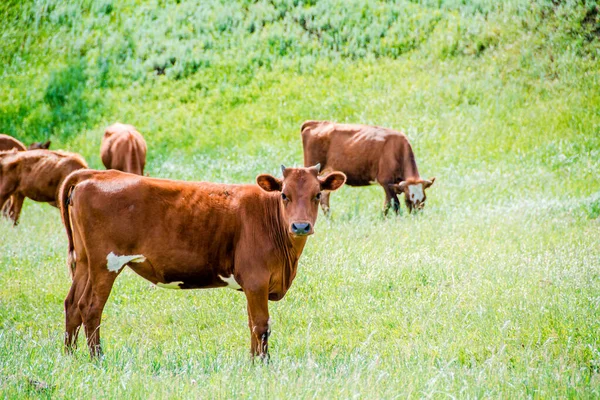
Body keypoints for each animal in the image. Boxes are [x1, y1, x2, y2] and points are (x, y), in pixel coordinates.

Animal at [59, 164, 346, 358]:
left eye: (317, 194)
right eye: (284, 195)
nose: (301, 226)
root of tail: (95, 173)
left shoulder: (252, 286)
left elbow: (251, 324)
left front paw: (253, 362)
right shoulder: (256, 281)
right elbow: (261, 325)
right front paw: (263, 365)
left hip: (84, 262)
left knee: (73, 304)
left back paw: (70, 357)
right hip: (106, 264)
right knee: (91, 308)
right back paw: (97, 359)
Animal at [300, 120, 436, 216]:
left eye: (424, 199)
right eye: (408, 200)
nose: (415, 216)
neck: (397, 149)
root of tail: (315, 123)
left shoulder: (391, 185)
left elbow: (387, 204)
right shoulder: (386, 181)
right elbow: (394, 203)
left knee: (324, 196)